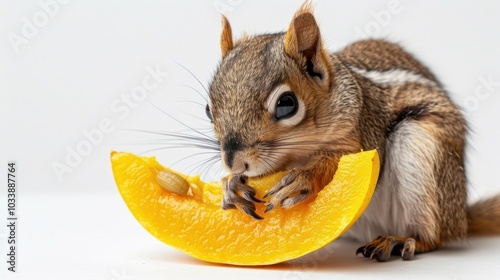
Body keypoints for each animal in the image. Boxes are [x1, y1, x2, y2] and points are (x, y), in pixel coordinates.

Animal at [203, 2, 500, 262]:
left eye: (286, 104)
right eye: (208, 109)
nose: (234, 163)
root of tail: (460, 217)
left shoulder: (365, 127)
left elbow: (340, 161)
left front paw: (306, 177)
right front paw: (230, 184)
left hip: (422, 150)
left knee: (435, 237)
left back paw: (400, 240)